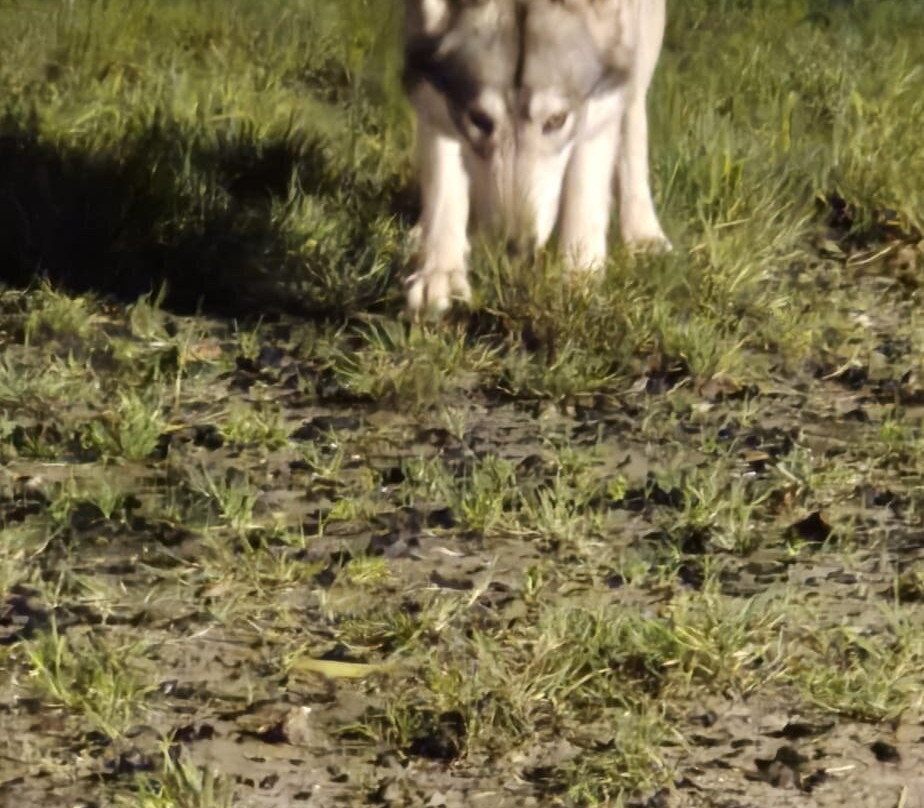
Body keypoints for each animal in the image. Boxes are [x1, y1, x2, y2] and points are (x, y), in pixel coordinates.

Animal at [403, 0, 670, 314]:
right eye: (479, 120)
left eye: (556, 120)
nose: (516, 249)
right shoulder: (433, 92)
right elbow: (444, 184)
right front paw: (440, 272)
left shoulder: (601, 100)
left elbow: (585, 190)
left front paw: (578, 280)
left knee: (633, 114)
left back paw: (643, 233)